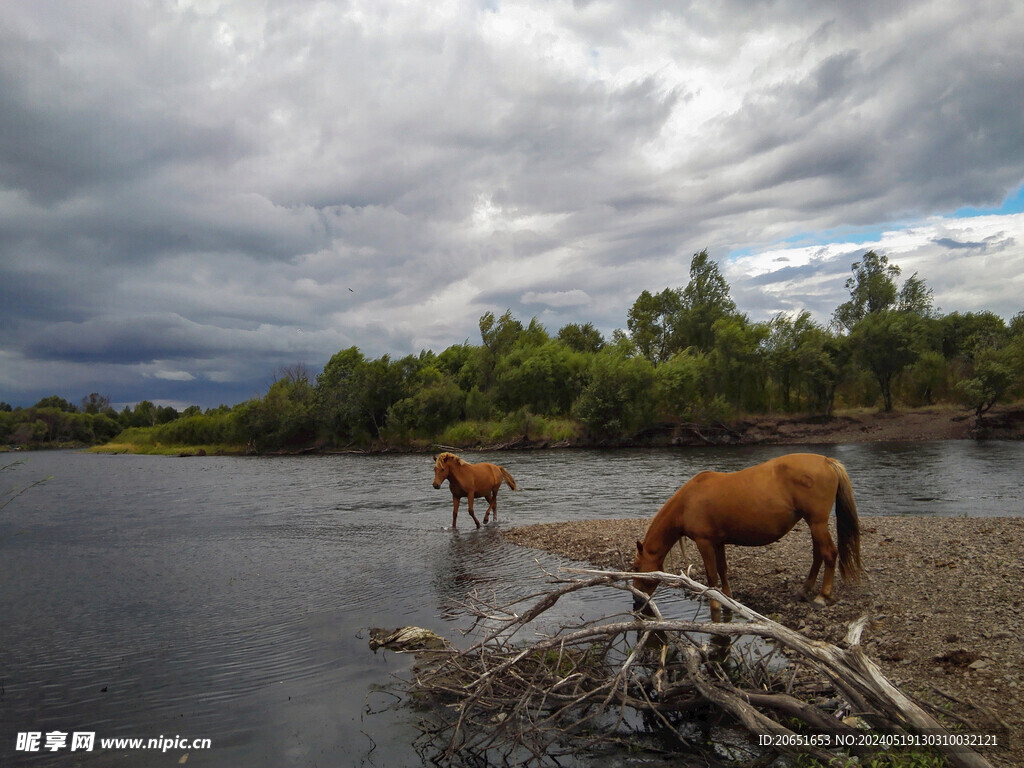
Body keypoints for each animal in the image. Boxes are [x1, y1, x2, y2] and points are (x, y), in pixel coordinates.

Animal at [630, 456, 856, 614]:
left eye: (636, 568)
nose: (636, 600)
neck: (687, 502)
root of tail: (827, 461)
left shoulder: (705, 542)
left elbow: (711, 575)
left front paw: (715, 604)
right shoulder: (718, 542)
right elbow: (722, 570)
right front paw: (728, 599)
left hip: (817, 523)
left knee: (829, 554)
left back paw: (822, 596)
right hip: (814, 524)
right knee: (818, 555)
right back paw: (804, 590)